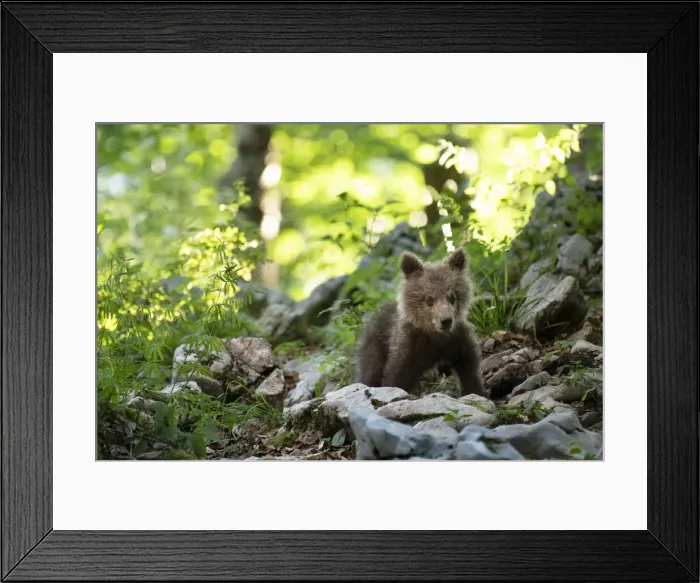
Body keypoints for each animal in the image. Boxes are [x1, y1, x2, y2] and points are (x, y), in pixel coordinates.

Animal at [354, 247, 485, 397]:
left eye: (452, 297)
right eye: (429, 299)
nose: (446, 320)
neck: (435, 336)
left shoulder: (458, 341)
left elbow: (469, 370)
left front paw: (476, 391)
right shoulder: (408, 346)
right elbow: (395, 377)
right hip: (375, 345)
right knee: (370, 371)